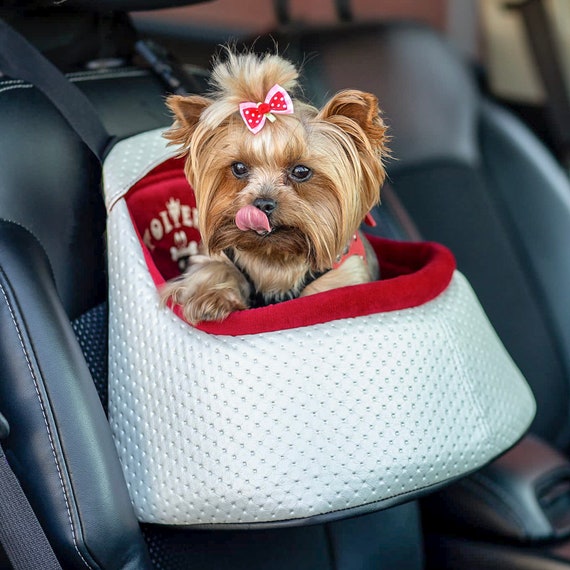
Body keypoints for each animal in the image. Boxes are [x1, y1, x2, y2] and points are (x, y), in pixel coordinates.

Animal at [162, 51, 388, 322]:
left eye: (300, 171)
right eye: (239, 168)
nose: (261, 204)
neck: (275, 255)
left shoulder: (344, 276)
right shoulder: (216, 257)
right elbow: (213, 268)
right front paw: (210, 298)